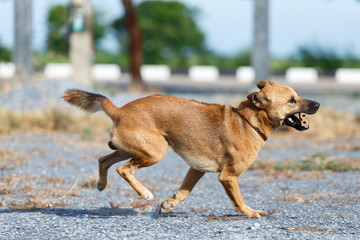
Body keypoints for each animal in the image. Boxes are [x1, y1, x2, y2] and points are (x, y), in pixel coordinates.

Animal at [63, 80, 320, 218]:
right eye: (291, 100)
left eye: (297, 95)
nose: (317, 104)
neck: (249, 121)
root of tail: (118, 110)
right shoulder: (228, 177)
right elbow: (238, 200)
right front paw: (250, 213)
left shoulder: (197, 169)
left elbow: (184, 192)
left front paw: (169, 204)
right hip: (155, 151)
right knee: (123, 170)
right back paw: (144, 193)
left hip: (129, 149)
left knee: (103, 159)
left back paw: (101, 184)